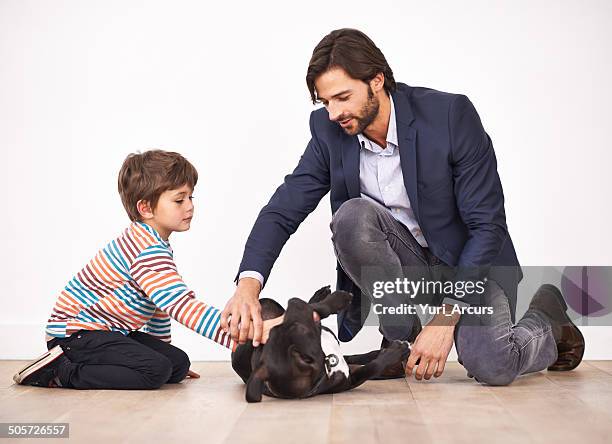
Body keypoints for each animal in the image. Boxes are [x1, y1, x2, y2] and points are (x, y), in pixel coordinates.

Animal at [232, 286, 408, 404]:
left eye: (276, 329)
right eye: (299, 328)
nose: (293, 301)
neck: (327, 362)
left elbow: (320, 308)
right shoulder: (352, 378)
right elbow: (372, 368)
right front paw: (397, 351)